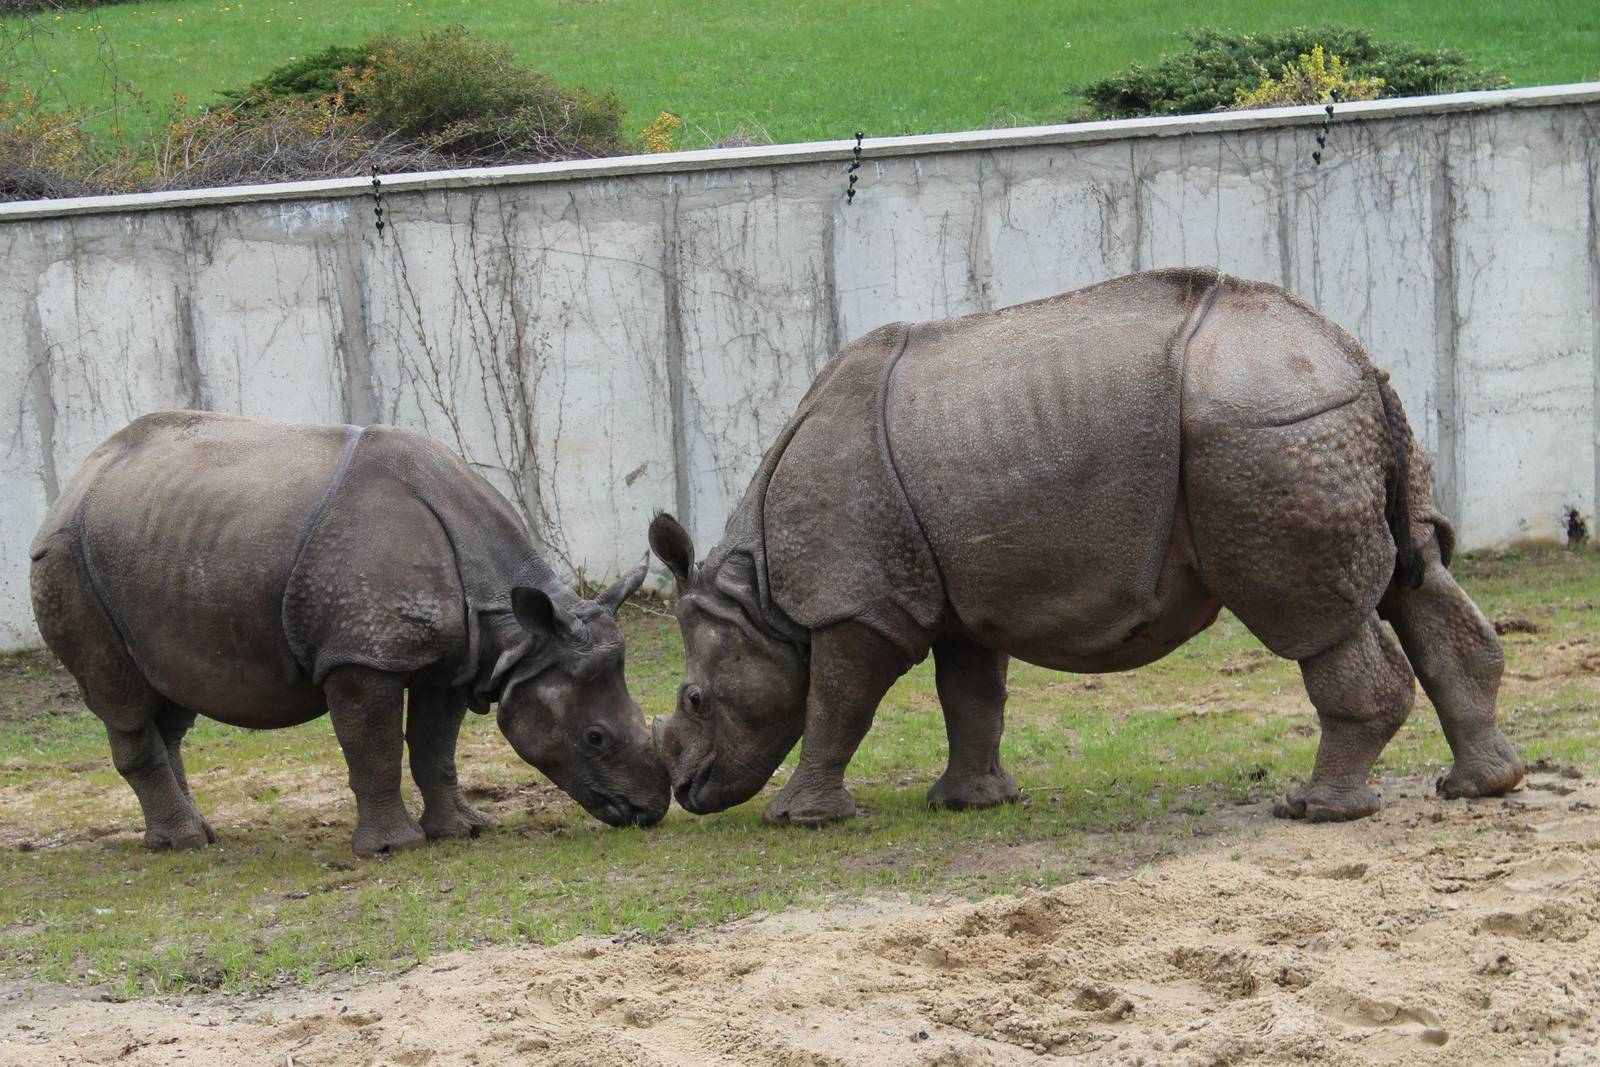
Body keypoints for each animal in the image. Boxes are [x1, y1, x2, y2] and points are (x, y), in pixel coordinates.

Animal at [30, 412, 668, 855]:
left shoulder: (453, 657)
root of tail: (75, 482)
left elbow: (434, 745)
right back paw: (186, 844)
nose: (650, 809)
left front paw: (463, 831)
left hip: (152, 551)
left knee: (169, 703)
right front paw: (393, 849)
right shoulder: (363, 655)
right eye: (595, 738)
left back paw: (193, 835)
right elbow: (374, 745)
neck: (514, 631)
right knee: (123, 699)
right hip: (66, 560)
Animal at [649, 268, 1526, 826]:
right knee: (1418, 577)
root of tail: (1350, 359)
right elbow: (972, 695)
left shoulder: (861, 602)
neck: (759, 591)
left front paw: (799, 819)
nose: (684, 790)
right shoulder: (959, 593)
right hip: (1326, 421)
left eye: (693, 699)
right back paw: (1481, 786)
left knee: (1314, 620)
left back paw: (1316, 810)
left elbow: (838, 703)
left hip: (1264, 431)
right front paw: (970, 804)